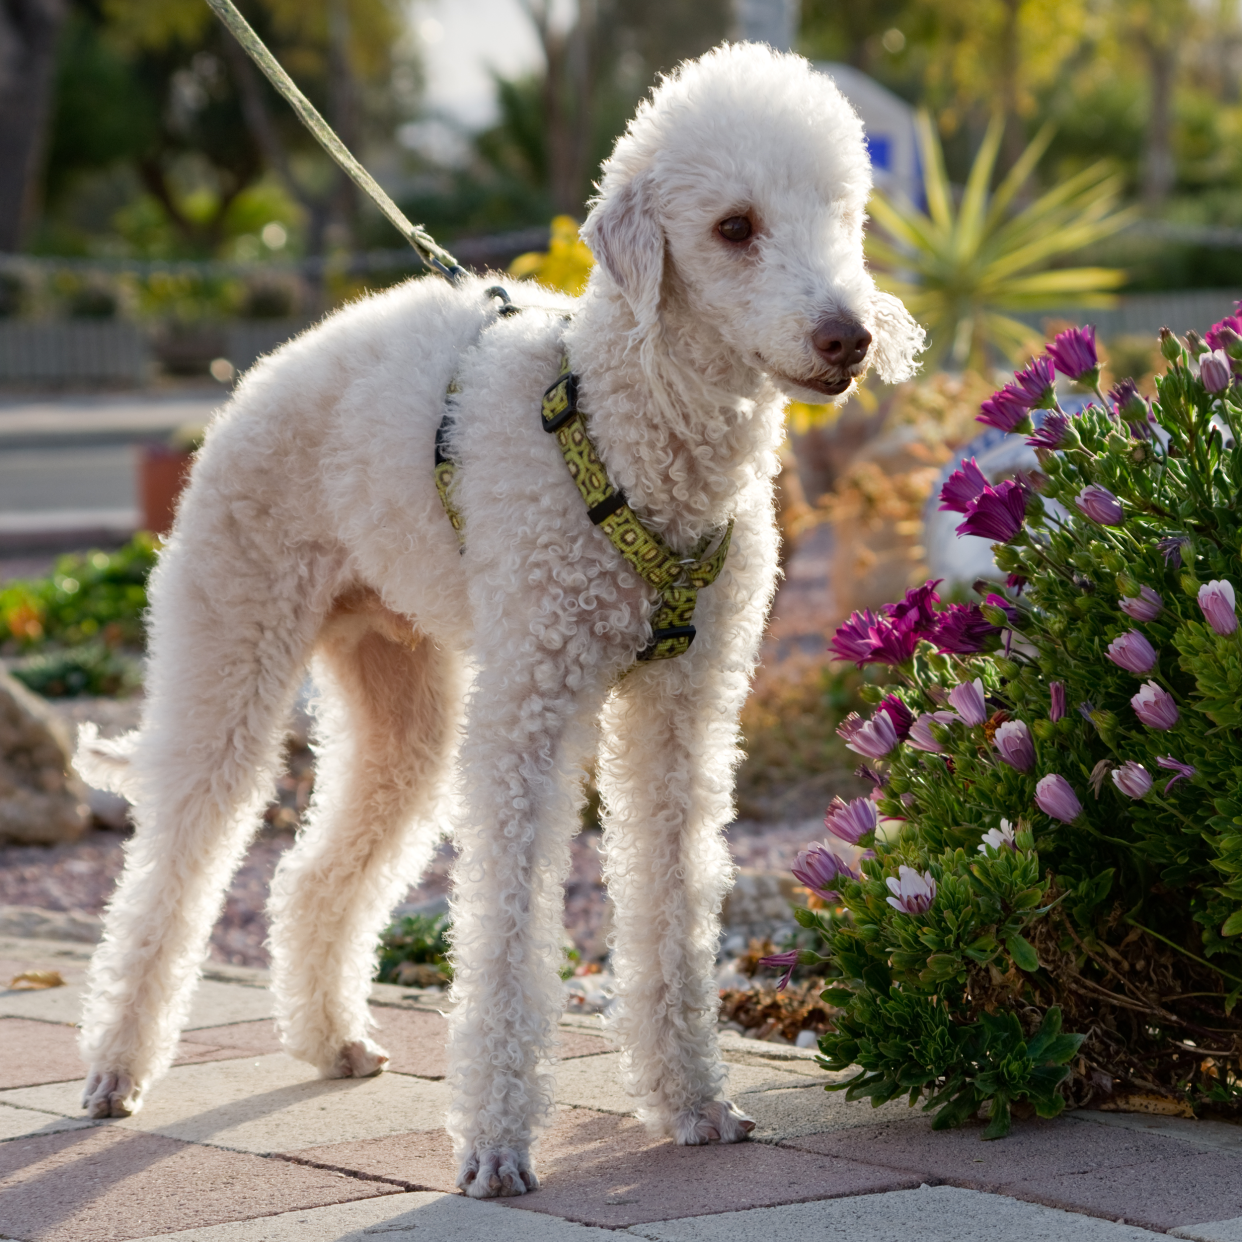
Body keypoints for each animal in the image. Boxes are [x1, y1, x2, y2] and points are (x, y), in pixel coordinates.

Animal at [70, 43, 924, 1197]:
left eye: (842, 213)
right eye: (735, 227)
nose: (849, 337)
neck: (630, 431)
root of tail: (260, 377)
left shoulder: (685, 710)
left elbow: (674, 898)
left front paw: (694, 1103)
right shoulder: (532, 708)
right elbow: (509, 924)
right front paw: (496, 1145)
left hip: (399, 690)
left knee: (311, 875)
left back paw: (330, 1038)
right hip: (231, 635)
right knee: (177, 862)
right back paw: (117, 1069)